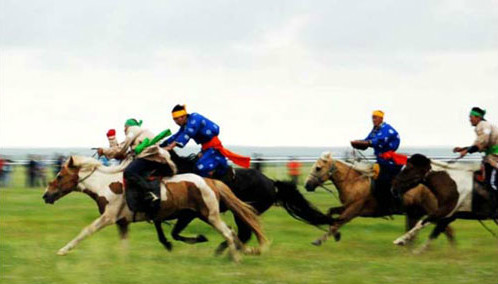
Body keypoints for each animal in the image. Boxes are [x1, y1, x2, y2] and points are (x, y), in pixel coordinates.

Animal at [41, 155, 268, 262]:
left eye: (60, 176)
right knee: (232, 233)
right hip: (200, 216)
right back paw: (240, 252)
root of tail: (211, 181)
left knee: (229, 234)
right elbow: (124, 245)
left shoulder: (108, 217)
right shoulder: (122, 222)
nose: (45, 195)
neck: (106, 185)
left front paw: (63, 250)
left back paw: (236, 258)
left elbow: (85, 231)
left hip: (210, 215)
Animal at [155, 151, 334, 253]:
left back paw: (226, 250)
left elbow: (174, 231)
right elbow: (162, 224)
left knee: (244, 233)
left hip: (243, 211)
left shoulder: (189, 213)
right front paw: (167, 243)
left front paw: (198, 238)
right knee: (244, 234)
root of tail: (271, 183)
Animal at [304, 151, 456, 246]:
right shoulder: (346, 207)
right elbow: (331, 213)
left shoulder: (352, 210)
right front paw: (334, 235)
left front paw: (319, 240)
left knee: (447, 230)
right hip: (415, 213)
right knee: (415, 232)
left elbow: (336, 223)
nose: (307, 185)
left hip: (432, 211)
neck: (353, 182)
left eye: (318, 168)